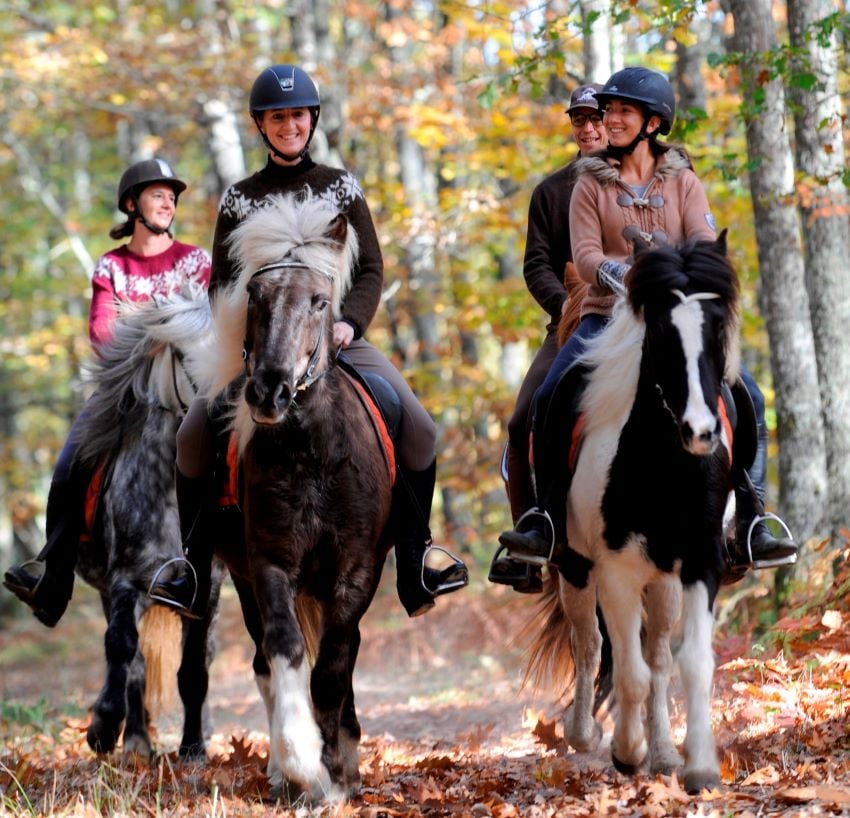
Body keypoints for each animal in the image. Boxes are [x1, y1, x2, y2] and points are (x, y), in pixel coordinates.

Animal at [72, 289, 216, 757]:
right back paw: (135, 741)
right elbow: (122, 649)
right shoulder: (127, 581)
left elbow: (194, 669)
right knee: (131, 659)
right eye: (183, 356)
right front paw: (104, 728)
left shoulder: (204, 590)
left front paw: (193, 748)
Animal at [179, 193, 394, 803]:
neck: (311, 451)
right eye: (254, 296)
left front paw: (338, 772)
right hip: (233, 574)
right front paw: (305, 765)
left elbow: (333, 668)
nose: (269, 391)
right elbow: (286, 651)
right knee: (262, 661)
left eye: (320, 301)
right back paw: (281, 769)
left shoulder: (356, 571)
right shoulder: (270, 563)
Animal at [524, 233, 739, 795]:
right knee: (590, 643)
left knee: (658, 655)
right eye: (661, 333)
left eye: (717, 330)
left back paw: (663, 753)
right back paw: (587, 735)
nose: (701, 432)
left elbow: (691, 663)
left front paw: (699, 767)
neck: (664, 465)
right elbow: (627, 670)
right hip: (576, 568)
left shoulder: (700, 561)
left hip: (662, 579)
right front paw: (626, 752)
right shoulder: (615, 571)